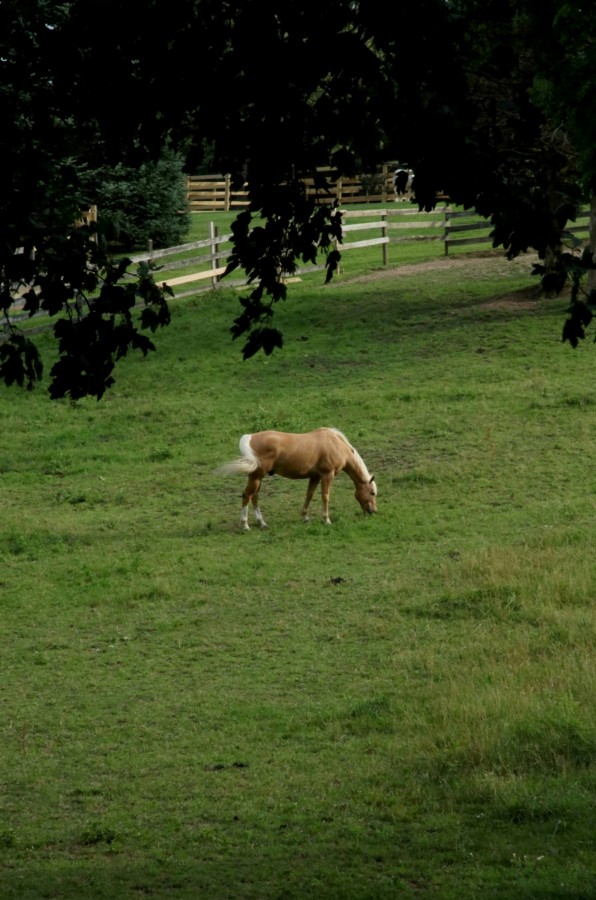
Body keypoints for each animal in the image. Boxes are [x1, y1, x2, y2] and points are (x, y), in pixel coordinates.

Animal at [218, 428, 378, 532]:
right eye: (372, 493)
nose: (373, 511)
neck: (335, 444)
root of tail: (250, 437)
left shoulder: (315, 476)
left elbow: (309, 495)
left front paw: (305, 517)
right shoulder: (327, 475)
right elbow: (325, 496)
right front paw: (326, 520)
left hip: (257, 477)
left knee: (254, 497)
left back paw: (262, 523)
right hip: (256, 477)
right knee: (247, 496)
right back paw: (245, 525)